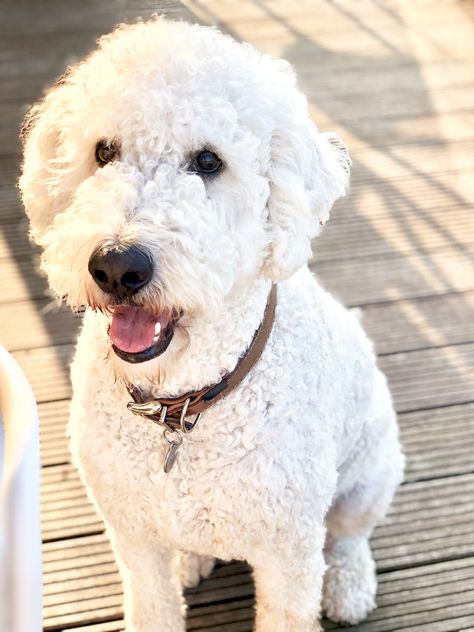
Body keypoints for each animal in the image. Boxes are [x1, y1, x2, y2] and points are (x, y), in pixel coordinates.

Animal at [19, 17, 404, 628]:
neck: (180, 406)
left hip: (369, 475)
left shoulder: (290, 556)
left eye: (208, 162)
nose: (117, 265)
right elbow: (152, 605)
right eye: (103, 152)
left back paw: (348, 584)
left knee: (348, 536)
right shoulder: (133, 538)